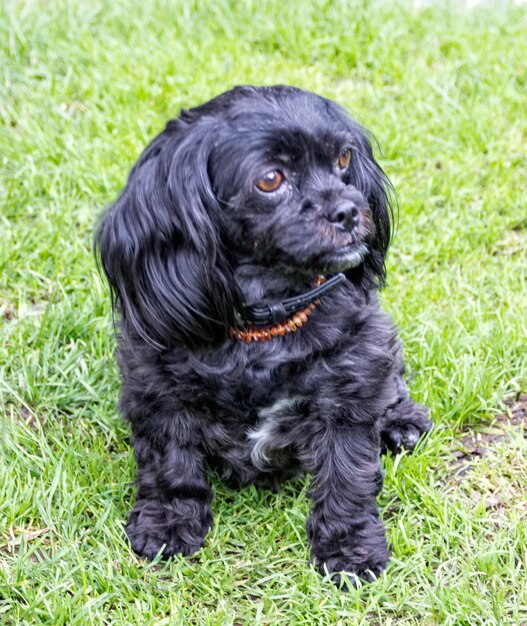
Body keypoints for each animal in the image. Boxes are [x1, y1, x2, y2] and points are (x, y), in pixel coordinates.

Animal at [97, 85, 432, 584]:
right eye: (271, 179)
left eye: (343, 157)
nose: (350, 210)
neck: (264, 327)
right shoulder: (157, 390)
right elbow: (170, 465)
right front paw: (168, 524)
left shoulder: (350, 388)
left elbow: (347, 475)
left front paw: (349, 548)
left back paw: (402, 422)